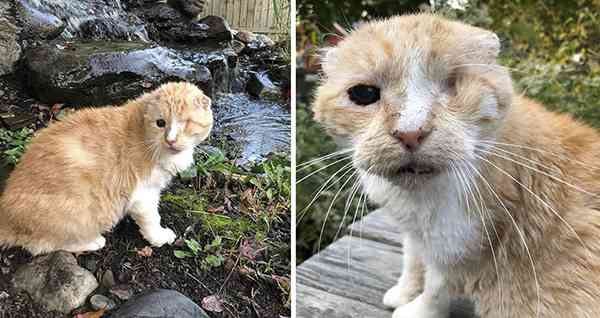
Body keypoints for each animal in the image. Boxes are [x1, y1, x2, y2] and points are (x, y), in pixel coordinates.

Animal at [0, 82, 214, 256]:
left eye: (186, 123)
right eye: (160, 123)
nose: (170, 140)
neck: (145, 135)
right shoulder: (144, 195)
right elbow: (152, 218)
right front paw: (160, 237)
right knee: (43, 245)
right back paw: (94, 241)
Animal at [312, 13, 600, 318]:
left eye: (453, 84)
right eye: (364, 93)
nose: (411, 133)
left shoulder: (456, 246)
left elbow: (436, 288)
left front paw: (418, 310)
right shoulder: (416, 233)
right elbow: (412, 259)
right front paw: (404, 291)